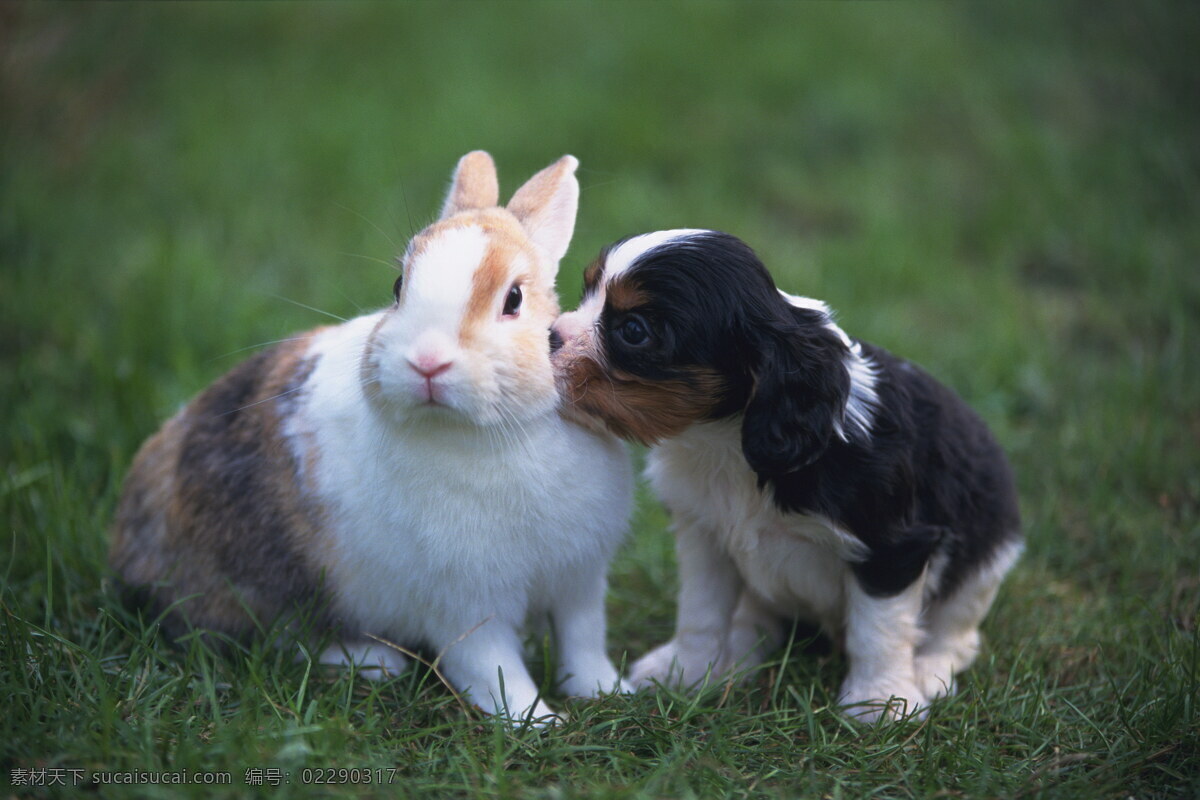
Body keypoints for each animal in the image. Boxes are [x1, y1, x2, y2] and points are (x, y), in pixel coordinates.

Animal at [111, 153, 633, 724]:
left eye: (513, 299)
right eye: (398, 286)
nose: (427, 361)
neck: (495, 430)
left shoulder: (580, 581)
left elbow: (583, 643)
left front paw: (611, 691)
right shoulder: (465, 604)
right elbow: (493, 668)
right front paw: (535, 721)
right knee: (277, 638)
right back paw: (374, 661)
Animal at [552, 230, 1022, 719]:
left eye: (634, 331)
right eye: (587, 291)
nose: (548, 335)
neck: (724, 441)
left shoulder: (893, 546)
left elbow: (879, 629)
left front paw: (880, 701)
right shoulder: (703, 533)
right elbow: (701, 612)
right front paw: (686, 670)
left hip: (988, 557)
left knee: (957, 633)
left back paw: (929, 669)